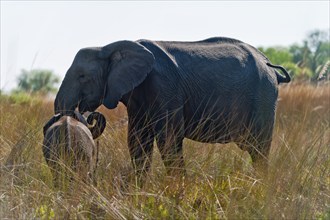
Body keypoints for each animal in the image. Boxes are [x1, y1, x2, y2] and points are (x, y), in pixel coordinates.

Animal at [55, 37, 290, 182]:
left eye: (82, 76)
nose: (83, 115)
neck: (108, 48)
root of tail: (271, 66)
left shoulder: (164, 87)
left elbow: (168, 140)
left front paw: (176, 190)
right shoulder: (137, 97)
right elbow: (137, 141)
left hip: (263, 95)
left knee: (259, 149)